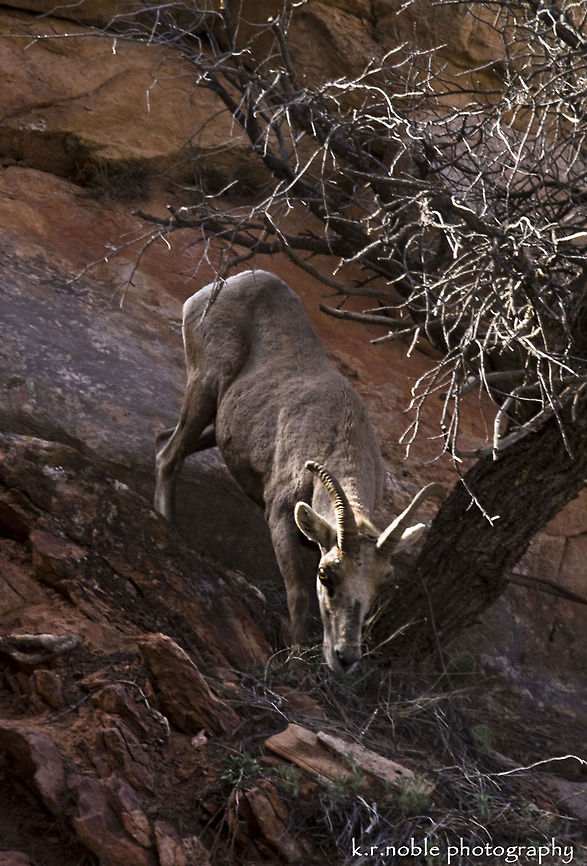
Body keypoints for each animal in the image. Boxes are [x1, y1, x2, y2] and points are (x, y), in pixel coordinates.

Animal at [155, 270, 440, 673]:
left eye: (382, 583)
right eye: (326, 574)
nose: (345, 659)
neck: (338, 436)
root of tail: (220, 286)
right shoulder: (279, 517)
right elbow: (297, 595)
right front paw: (294, 658)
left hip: (218, 427)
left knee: (162, 441)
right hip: (204, 388)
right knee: (169, 456)